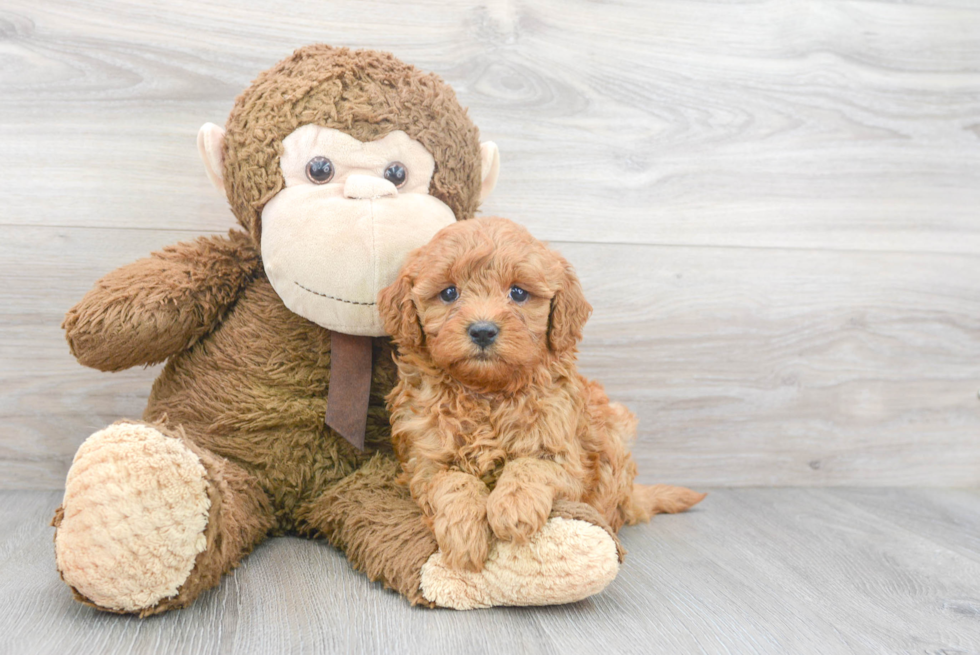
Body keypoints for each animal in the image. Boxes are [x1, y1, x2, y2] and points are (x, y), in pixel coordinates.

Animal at [378, 218, 704, 572]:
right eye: (449, 292)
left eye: (518, 293)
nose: (483, 330)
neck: (487, 392)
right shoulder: (426, 460)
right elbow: (455, 483)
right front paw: (464, 534)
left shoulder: (567, 458)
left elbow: (530, 466)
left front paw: (513, 508)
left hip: (614, 436)